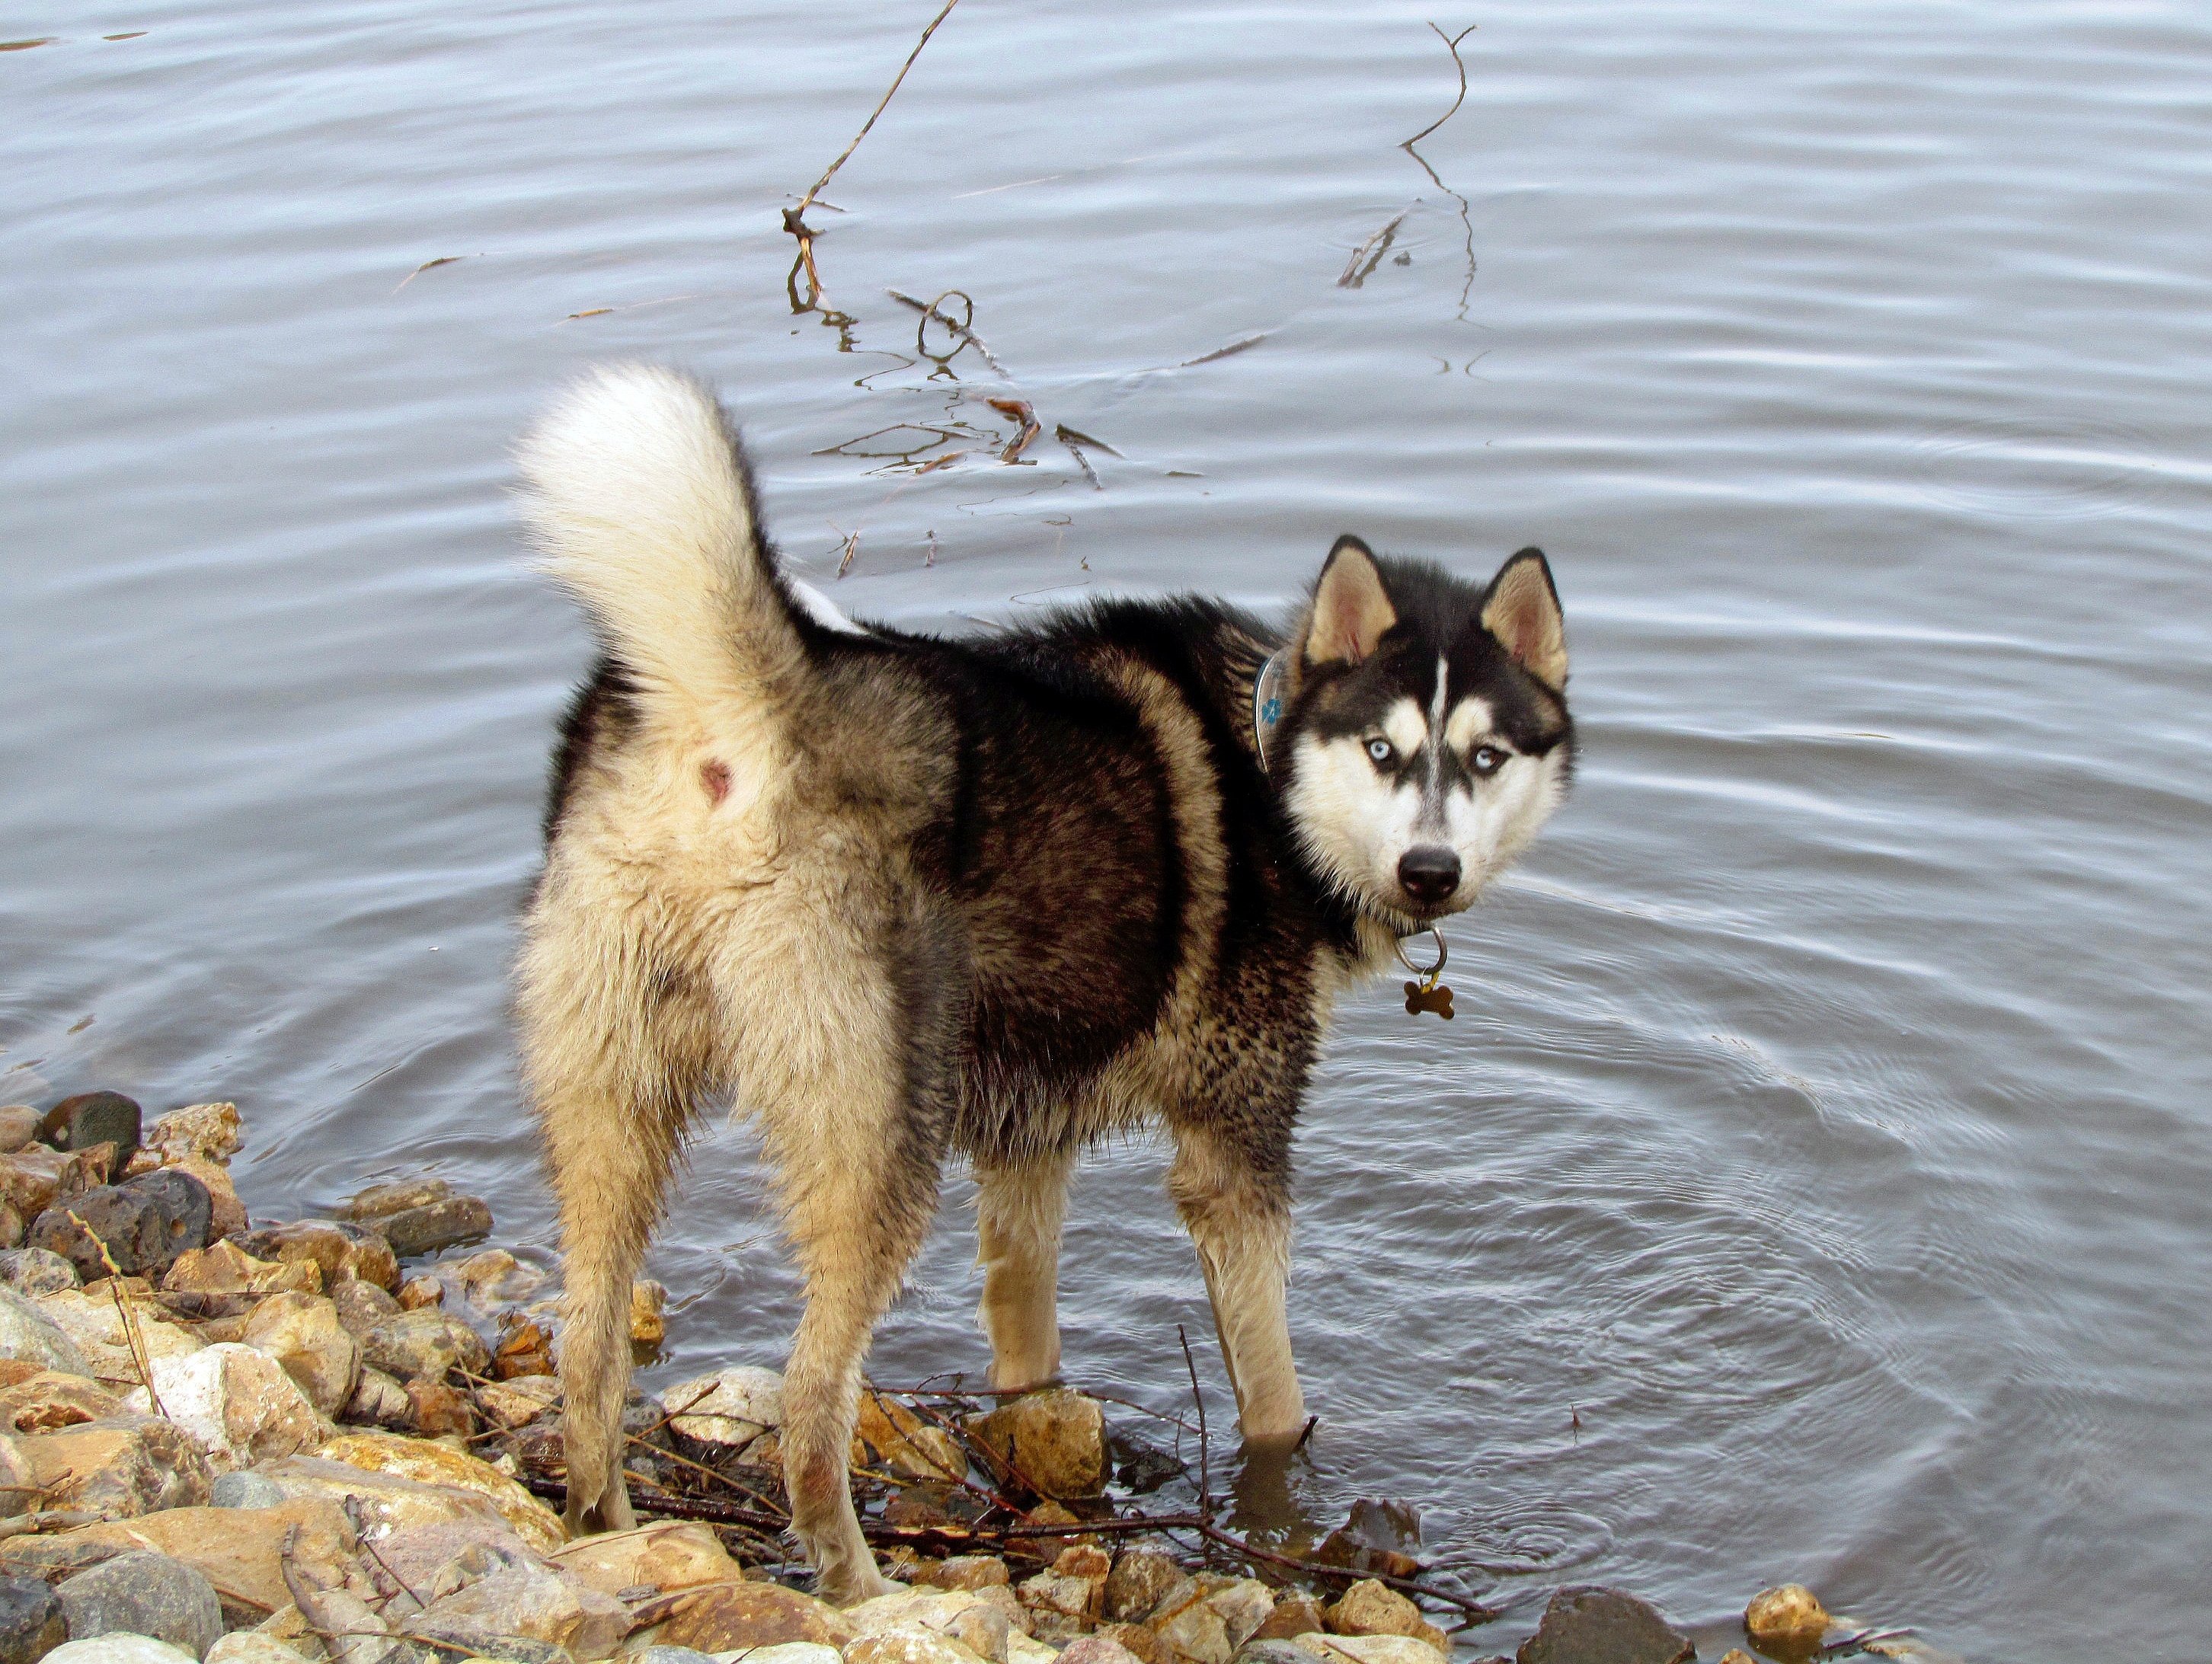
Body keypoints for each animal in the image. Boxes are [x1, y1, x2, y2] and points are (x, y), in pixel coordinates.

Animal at [517, 360, 1574, 1602]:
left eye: (1487, 758)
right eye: (1385, 753)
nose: (1430, 869)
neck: (1270, 769)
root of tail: (733, 700)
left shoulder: (1029, 1144)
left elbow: (1026, 1343)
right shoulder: (1235, 1156)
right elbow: (1272, 1395)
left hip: (615, 1108)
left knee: (589, 1341)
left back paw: (604, 1526)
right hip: (878, 1144)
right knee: (812, 1411)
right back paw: (862, 1590)